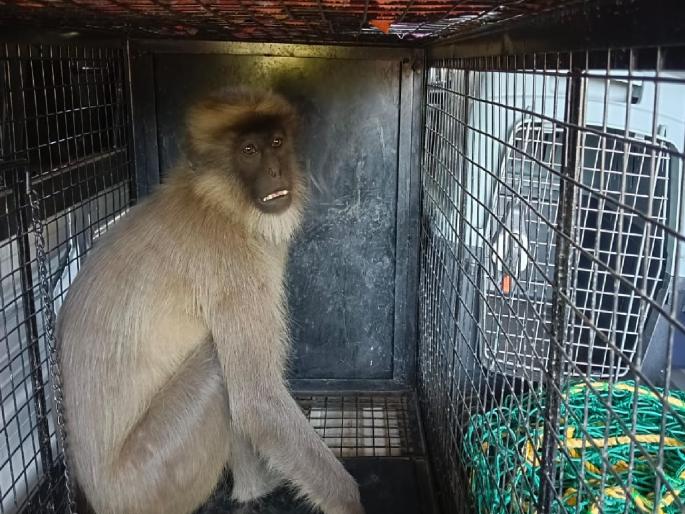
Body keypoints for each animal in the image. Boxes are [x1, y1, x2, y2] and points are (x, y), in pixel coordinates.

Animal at [56, 89, 365, 514]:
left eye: (276, 142)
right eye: (249, 150)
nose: (275, 172)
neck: (221, 203)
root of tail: (101, 497)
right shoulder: (233, 265)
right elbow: (258, 402)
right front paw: (349, 502)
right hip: (152, 478)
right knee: (220, 371)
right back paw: (254, 488)